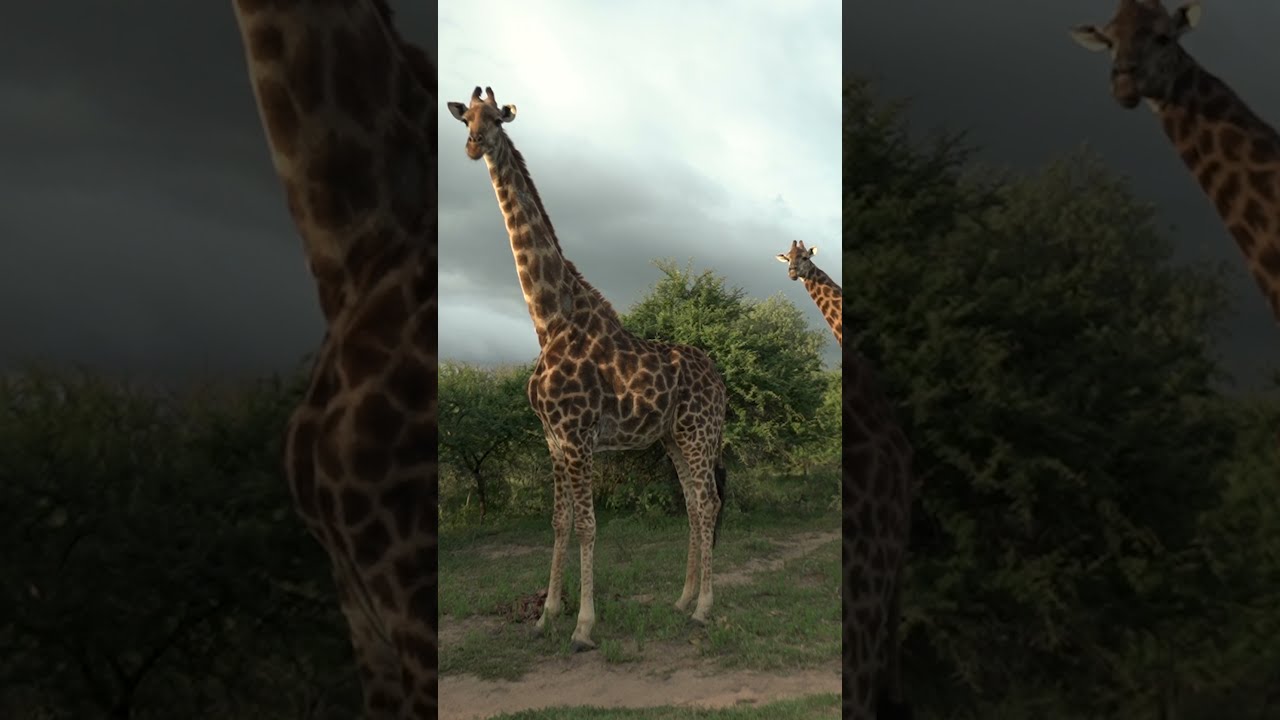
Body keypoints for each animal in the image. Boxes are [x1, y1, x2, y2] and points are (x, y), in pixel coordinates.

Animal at [446, 86, 729, 651]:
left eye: (497, 119)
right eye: (465, 119)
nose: (472, 145)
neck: (548, 321)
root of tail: (722, 383)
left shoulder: (577, 437)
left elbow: (587, 525)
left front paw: (583, 626)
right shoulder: (553, 439)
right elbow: (559, 522)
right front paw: (547, 614)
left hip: (697, 432)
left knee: (708, 502)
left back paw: (704, 608)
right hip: (674, 438)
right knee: (693, 503)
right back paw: (682, 598)